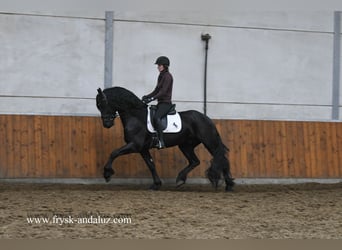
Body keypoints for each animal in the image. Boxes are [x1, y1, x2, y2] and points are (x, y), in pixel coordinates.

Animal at [96, 86, 235, 191]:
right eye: (98, 105)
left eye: (103, 103)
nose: (107, 124)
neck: (136, 116)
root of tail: (206, 118)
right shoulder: (142, 148)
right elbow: (151, 164)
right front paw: (156, 184)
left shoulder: (135, 145)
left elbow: (114, 153)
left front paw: (107, 173)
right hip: (185, 145)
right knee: (195, 161)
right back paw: (181, 179)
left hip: (209, 141)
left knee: (220, 157)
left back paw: (229, 185)